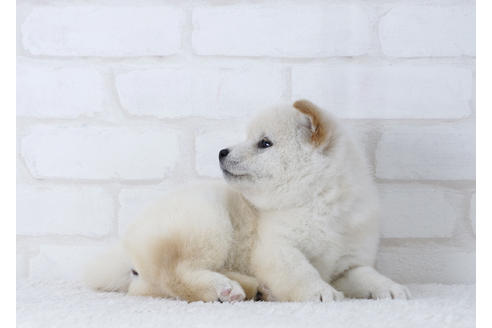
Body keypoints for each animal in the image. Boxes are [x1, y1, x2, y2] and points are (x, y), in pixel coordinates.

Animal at [85, 100, 412, 302]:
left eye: (264, 143)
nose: (222, 151)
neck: (319, 203)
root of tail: (127, 245)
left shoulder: (348, 265)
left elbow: (369, 276)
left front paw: (391, 288)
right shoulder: (277, 249)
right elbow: (302, 272)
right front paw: (321, 292)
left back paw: (251, 288)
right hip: (209, 221)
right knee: (172, 276)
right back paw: (223, 288)